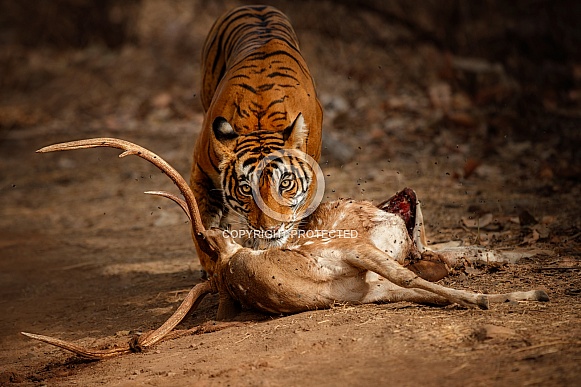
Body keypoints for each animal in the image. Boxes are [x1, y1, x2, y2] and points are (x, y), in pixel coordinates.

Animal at [22, 139, 548, 360]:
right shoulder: (361, 260)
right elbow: (423, 281)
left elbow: (428, 281)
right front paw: (516, 297)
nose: (405, 190)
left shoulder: (370, 277)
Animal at [193, 4, 324, 274]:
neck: (260, 122)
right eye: (245, 188)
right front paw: (213, 260)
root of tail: (256, 6)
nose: (270, 230)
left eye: (285, 184)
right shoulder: (201, 168)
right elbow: (201, 218)